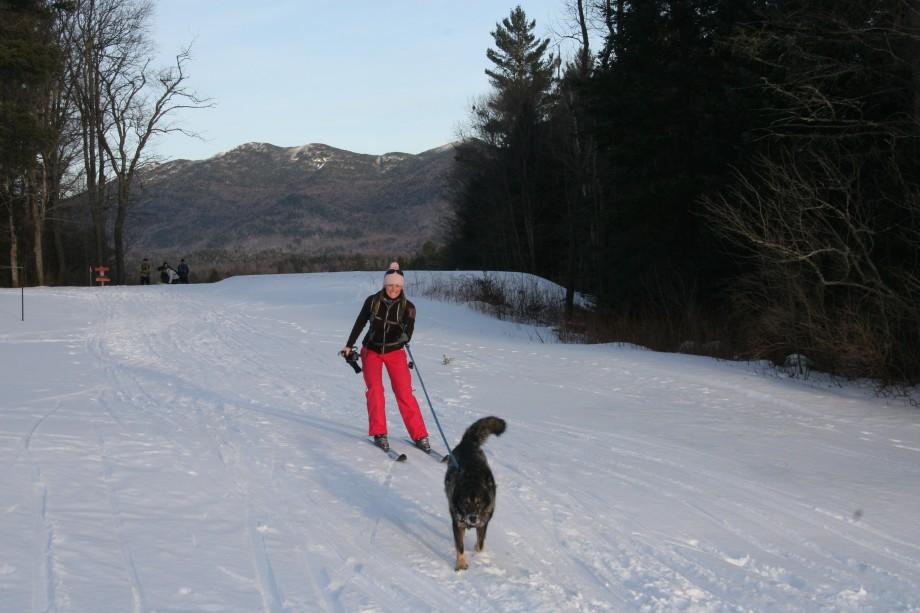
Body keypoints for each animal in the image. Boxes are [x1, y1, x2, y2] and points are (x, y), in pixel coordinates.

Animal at [444, 416, 506, 568]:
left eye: (479, 503)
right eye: (465, 503)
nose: (472, 518)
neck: (472, 478)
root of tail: (468, 442)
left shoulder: (483, 522)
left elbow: (481, 543)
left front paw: (478, 555)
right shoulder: (458, 523)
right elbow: (460, 546)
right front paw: (461, 565)